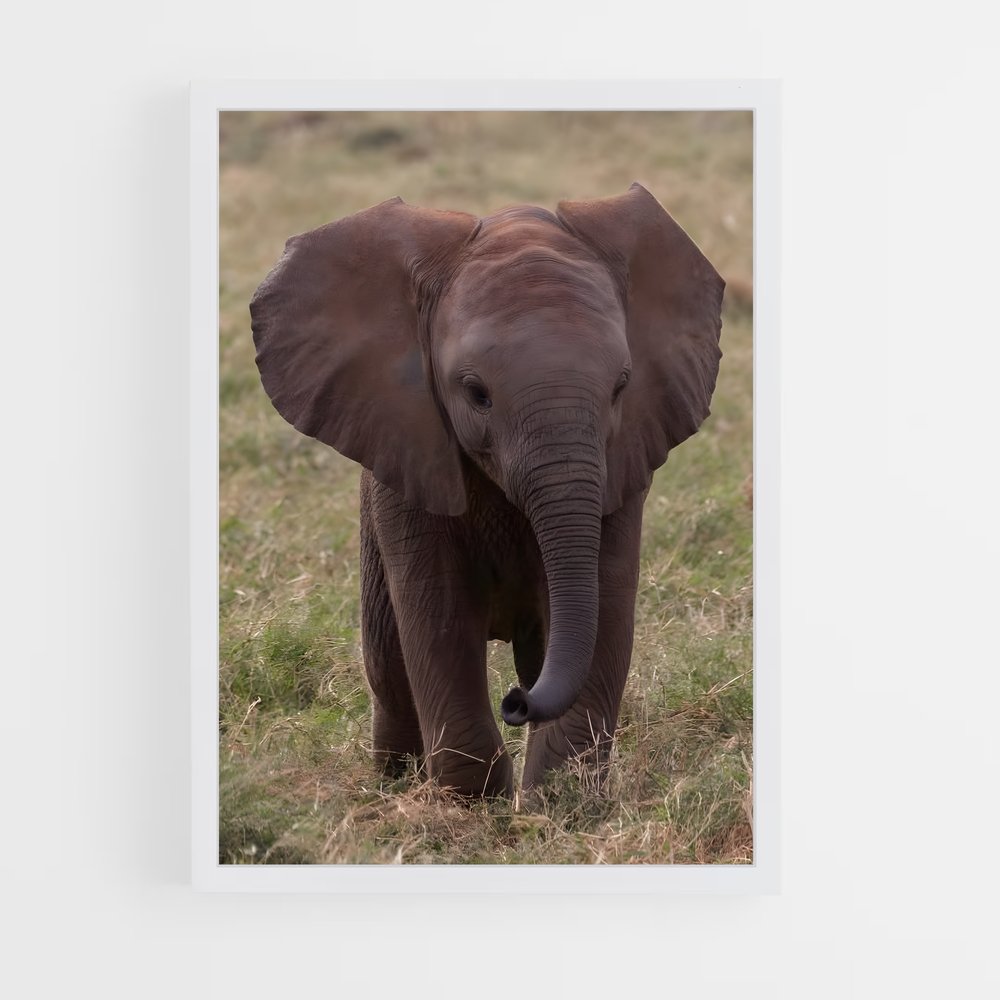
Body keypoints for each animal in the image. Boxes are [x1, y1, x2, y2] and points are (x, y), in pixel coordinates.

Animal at [250, 183, 724, 798]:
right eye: (476, 394)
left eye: (621, 387)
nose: (516, 704)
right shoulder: (409, 457)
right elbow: (439, 614)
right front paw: (473, 804)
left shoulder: (623, 463)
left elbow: (605, 604)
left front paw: (560, 803)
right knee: (388, 667)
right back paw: (394, 784)